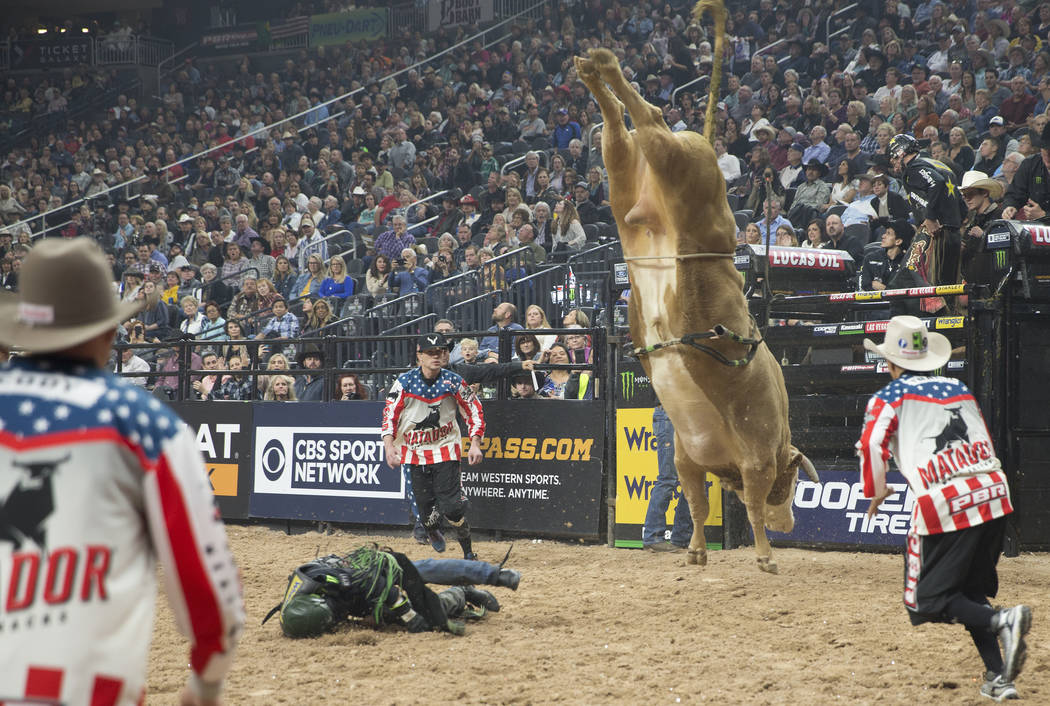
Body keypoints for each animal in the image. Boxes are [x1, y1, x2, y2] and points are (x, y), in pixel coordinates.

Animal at [575, 0, 817, 573]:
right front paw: (765, 555)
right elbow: (745, 504)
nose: (792, 522)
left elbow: (693, 497)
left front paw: (696, 551)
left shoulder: (686, 455)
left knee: (620, 131)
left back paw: (594, 70)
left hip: (624, 182)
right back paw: (603, 64)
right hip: (688, 169)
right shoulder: (756, 458)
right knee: (650, 118)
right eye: (794, 483)